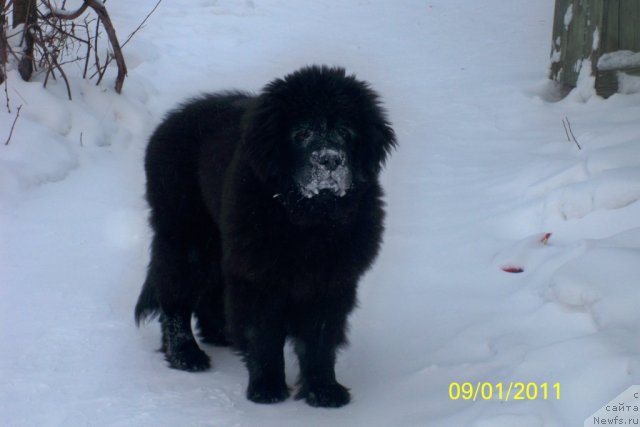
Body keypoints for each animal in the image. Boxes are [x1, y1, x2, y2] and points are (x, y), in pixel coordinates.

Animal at [135, 66, 396, 408]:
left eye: (343, 130)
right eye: (302, 133)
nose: (329, 160)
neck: (309, 219)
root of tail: (168, 123)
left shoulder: (331, 279)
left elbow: (320, 339)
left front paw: (324, 390)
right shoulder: (258, 276)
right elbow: (263, 335)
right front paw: (267, 388)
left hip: (219, 241)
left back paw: (220, 334)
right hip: (186, 236)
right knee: (174, 296)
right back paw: (186, 354)